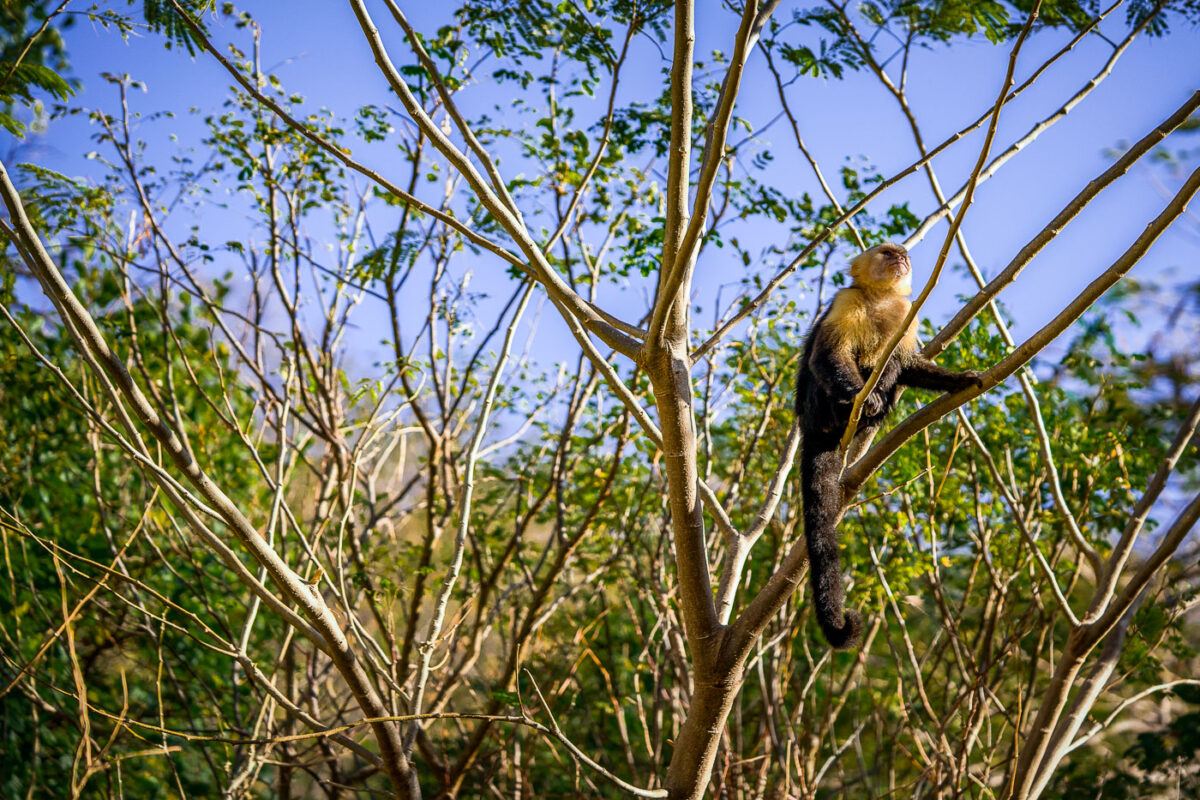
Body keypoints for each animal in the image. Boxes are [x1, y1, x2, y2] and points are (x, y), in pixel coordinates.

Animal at [792, 245, 979, 652]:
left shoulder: (906, 315)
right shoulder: (845, 301)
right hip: (816, 408)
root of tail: (810, 427)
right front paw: (858, 395)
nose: (901, 259)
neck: (878, 300)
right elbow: (827, 355)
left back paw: (877, 407)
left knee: (889, 364)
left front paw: (959, 380)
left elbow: (908, 363)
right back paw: (856, 407)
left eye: (902, 253)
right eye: (887, 253)